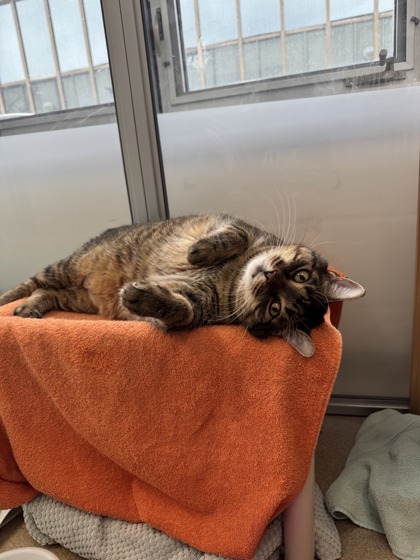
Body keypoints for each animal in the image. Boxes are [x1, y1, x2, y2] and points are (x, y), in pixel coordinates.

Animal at [0, 213, 365, 357]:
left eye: (275, 308)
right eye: (300, 275)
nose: (268, 276)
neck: (231, 278)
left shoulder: (196, 303)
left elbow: (182, 310)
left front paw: (141, 296)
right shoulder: (236, 225)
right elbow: (238, 235)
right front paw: (199, 251)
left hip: (78, 298)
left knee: (45, 292)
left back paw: (31, 309)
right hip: (67, 267)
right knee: (27, 284)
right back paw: (13, 303)